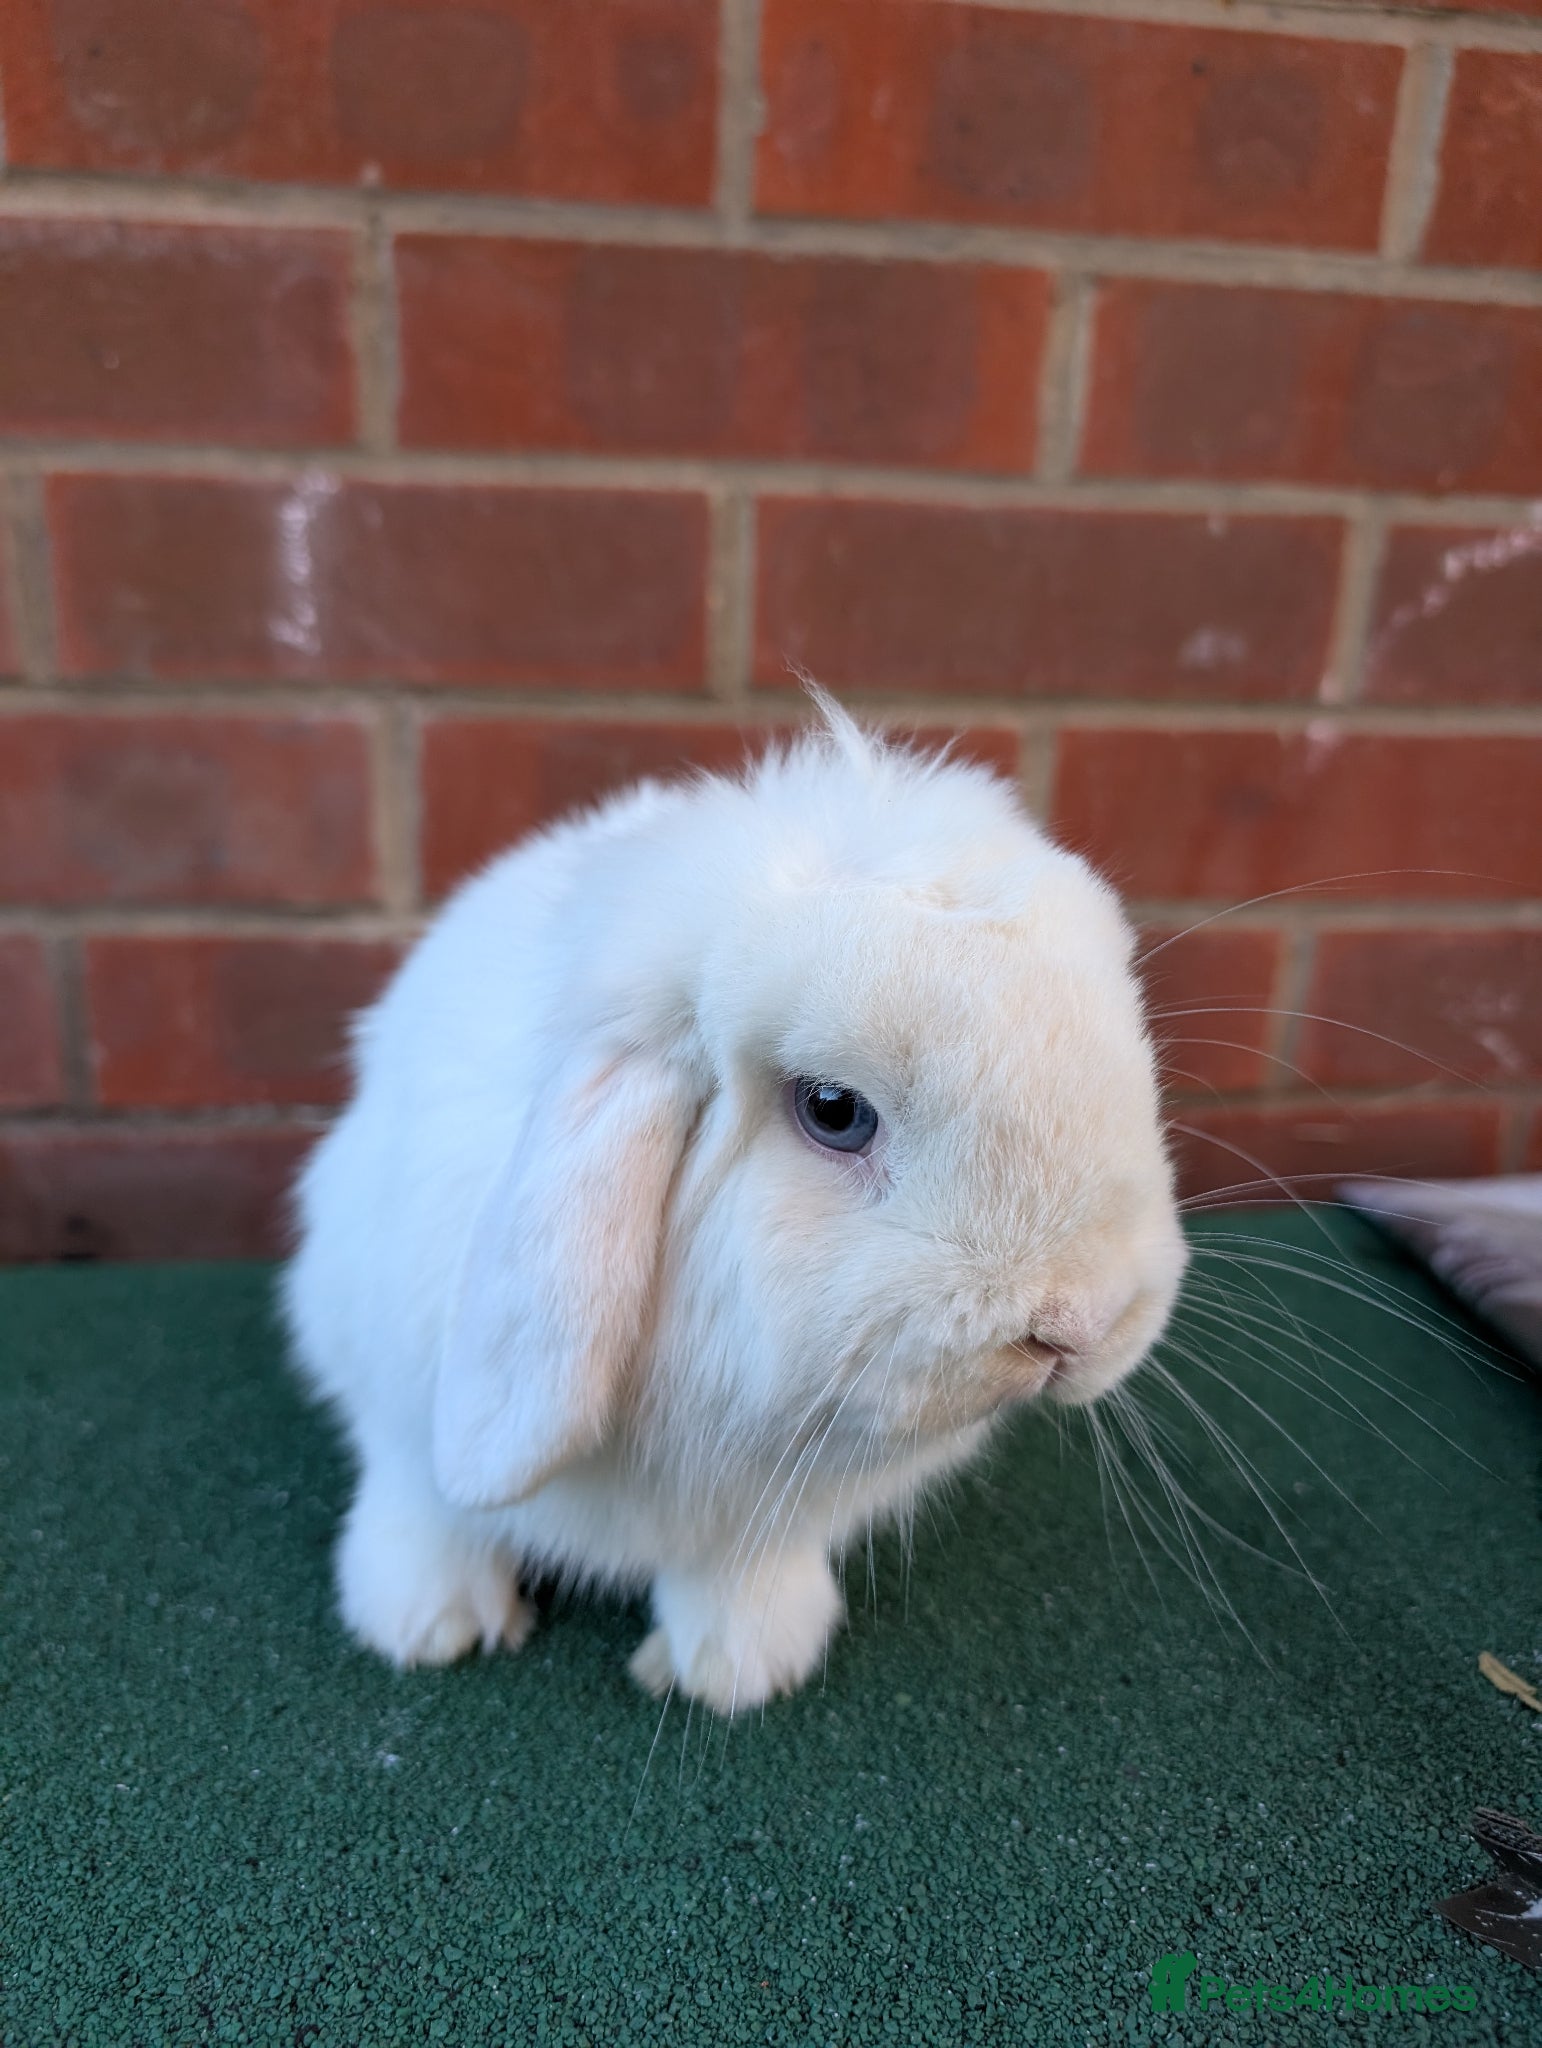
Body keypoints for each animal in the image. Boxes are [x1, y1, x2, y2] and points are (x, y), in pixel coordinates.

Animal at [283, 697, 1188, 1713]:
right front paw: (429, 1628)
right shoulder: (402, 1397)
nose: (1079, 1327)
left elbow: (739, 1579)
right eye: (834, 1111)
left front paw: (737, 1675)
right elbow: (426, 1496)